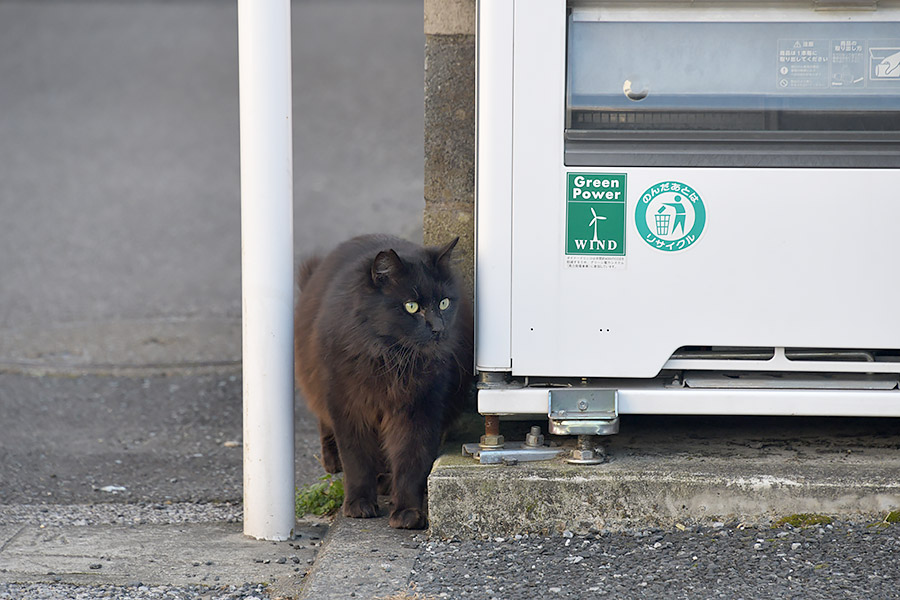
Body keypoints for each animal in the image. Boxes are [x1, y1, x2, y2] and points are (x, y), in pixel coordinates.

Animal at [298, 234, 478, 528]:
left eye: (444, 303)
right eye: (411, 306)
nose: (438, 328)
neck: (391, 360)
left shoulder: (419, 410)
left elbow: (411, 461)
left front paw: (407, 513)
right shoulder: (347, 407)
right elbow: (356, 461)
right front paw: (359, 504)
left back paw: (385, 481)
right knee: (324, 422)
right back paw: (334, 462)